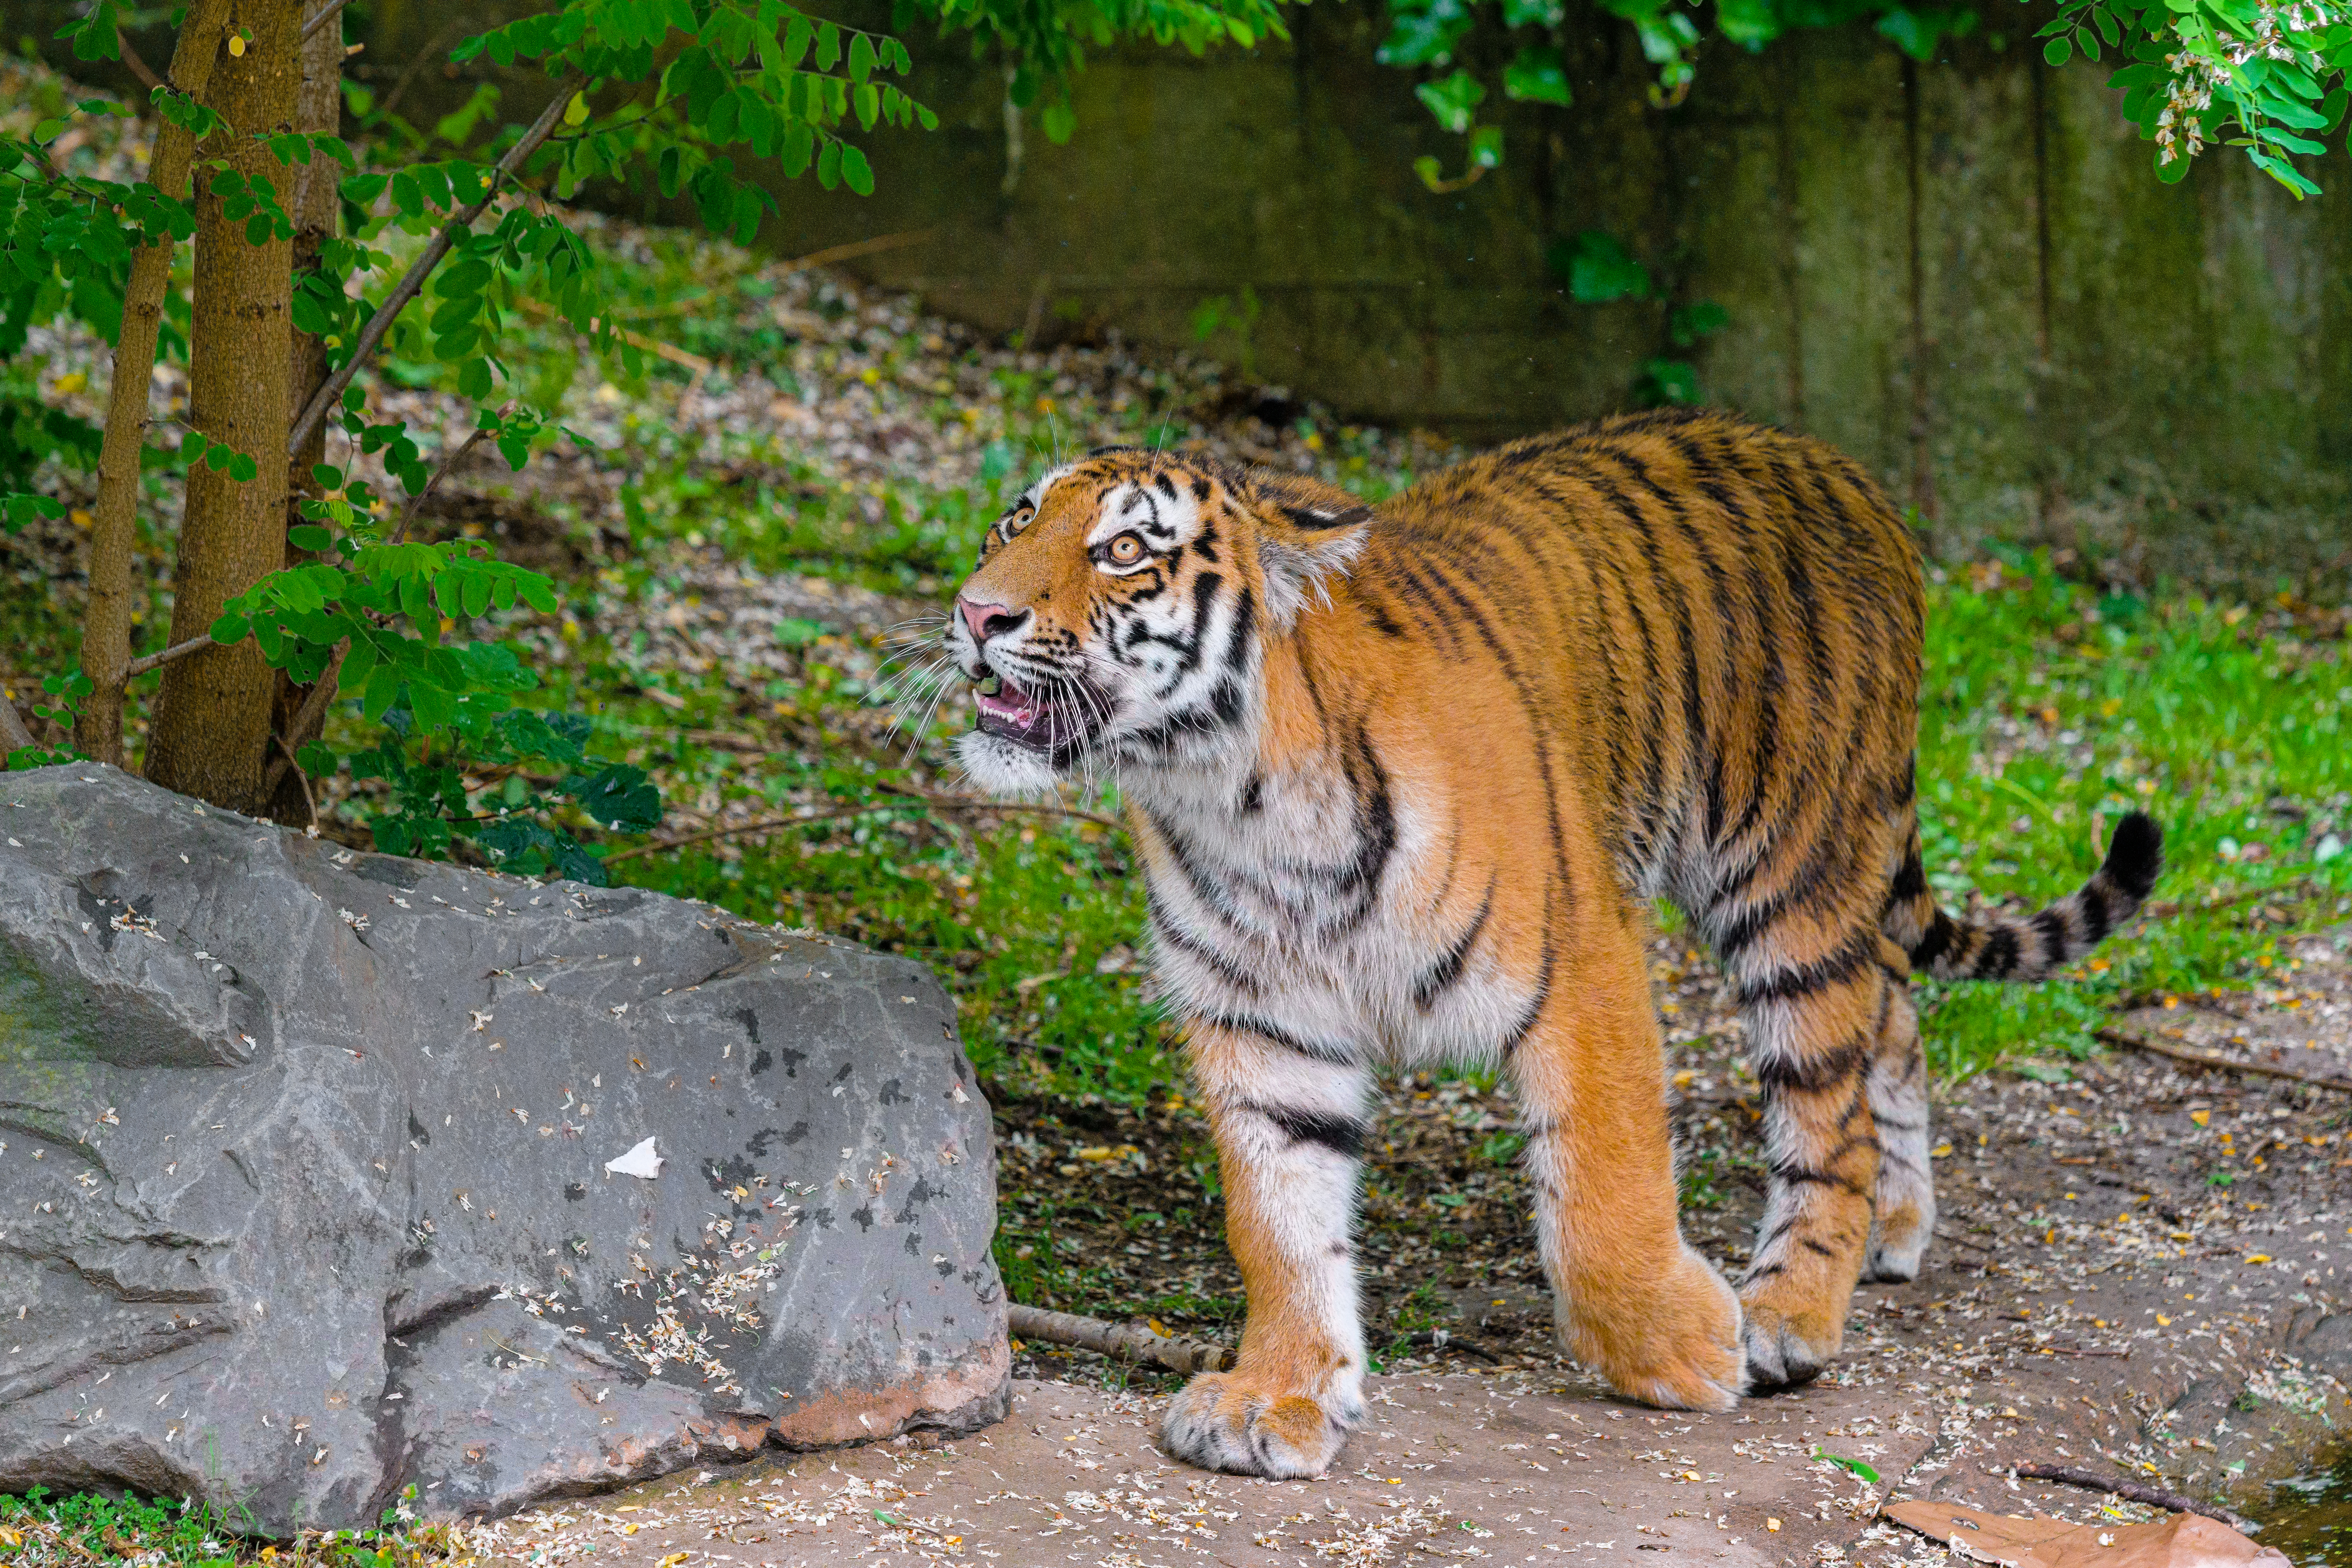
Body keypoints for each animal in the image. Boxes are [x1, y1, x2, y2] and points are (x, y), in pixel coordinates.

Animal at [941, 409, 2164, 1486]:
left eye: (1124, 551)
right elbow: (1280, 1227)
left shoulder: (1578, 960)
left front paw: (1679, 1349)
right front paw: (1276, 1396)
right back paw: (1895, 1231)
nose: (974, 613)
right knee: (1893, 1015)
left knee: (1832, 1102)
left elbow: (1602, 1188)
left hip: (1787, 874)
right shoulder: (1261, 1027)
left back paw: (1789, 1313)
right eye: (1014, 519)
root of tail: (1845, 474)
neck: (1235, 801)